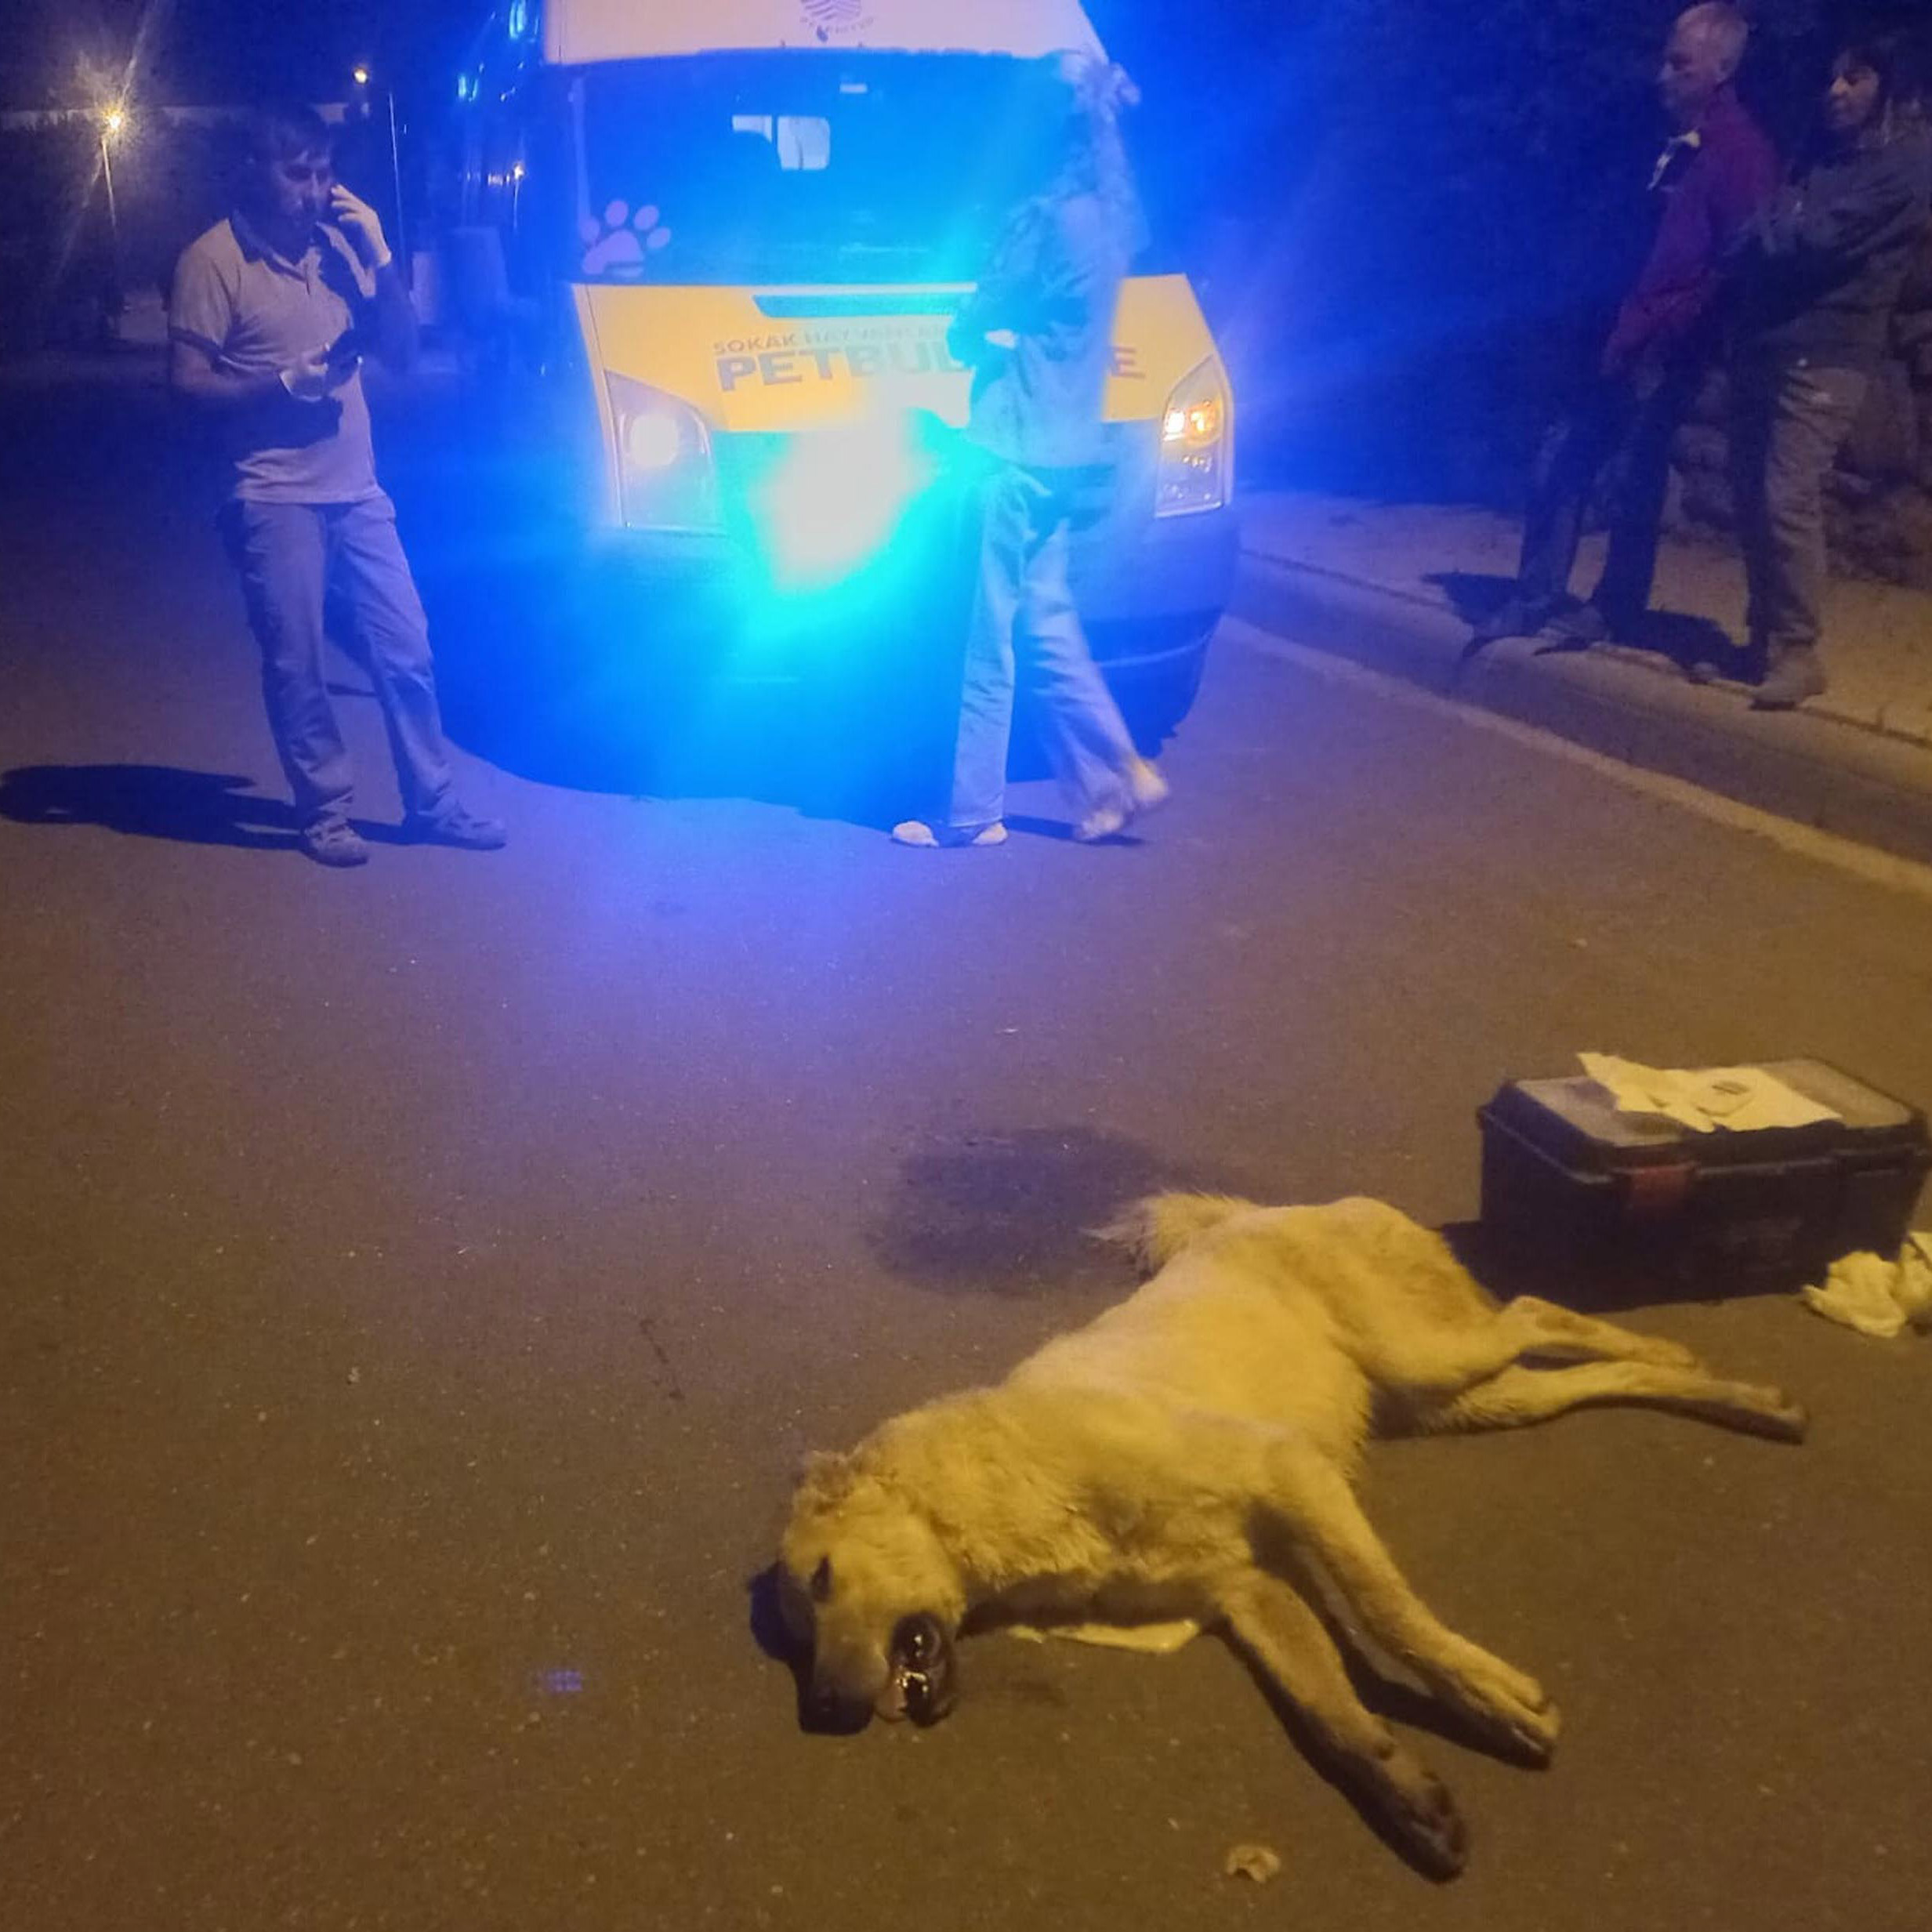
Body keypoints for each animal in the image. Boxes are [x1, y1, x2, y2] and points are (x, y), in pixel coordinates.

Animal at [776, 1194, 1808, 1877]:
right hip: (1464, 1401)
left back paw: (1679, 1353)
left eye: (821, 1580)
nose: (819, 1711)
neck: (1009, 1491)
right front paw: (1409, 1795)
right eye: (793, 1633)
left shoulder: (1292, 1475)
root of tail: (1263, 1205)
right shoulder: (1250, 1591)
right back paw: (1738, 1393)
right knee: (1582, 1376)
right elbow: (1331, 1714)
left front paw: (1488, 1694)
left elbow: (1390, 1616)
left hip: (1430, 1357)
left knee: (1534, 1310)